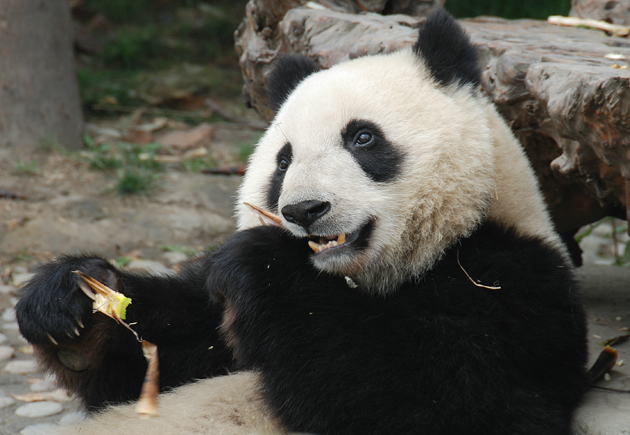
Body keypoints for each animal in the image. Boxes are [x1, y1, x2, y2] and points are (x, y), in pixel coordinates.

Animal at [17, 10, 592, 435]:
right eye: (284, 160)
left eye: (363, 138)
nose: (303, 211)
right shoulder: (215, 323)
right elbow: (158, 363)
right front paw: (70, 304)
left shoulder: (514, 289)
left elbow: (441, 401)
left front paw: (262, 264)